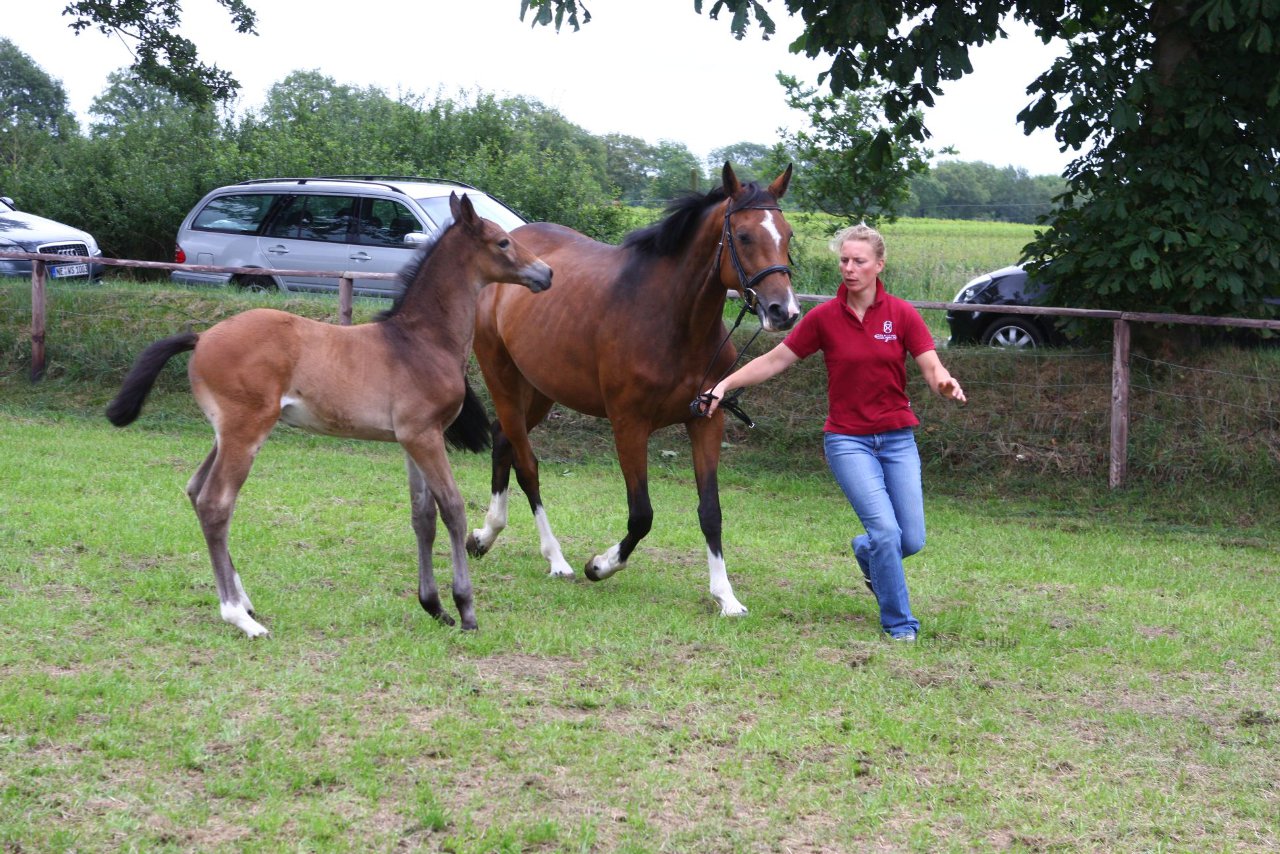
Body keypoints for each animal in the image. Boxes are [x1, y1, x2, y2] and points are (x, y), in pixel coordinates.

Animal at [106, 193, 550, 635]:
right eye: (503, 242)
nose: (546, 273)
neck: (421, 340)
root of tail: (201, 337)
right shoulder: (424, 436)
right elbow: (453, 509)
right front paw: (466, 609)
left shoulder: (413, 439)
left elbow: (422, 516)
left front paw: (434, 607)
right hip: (244, 432)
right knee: (217, 503)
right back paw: (238, 616)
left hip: (224, 433)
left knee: (196, 492)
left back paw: (245, 603)